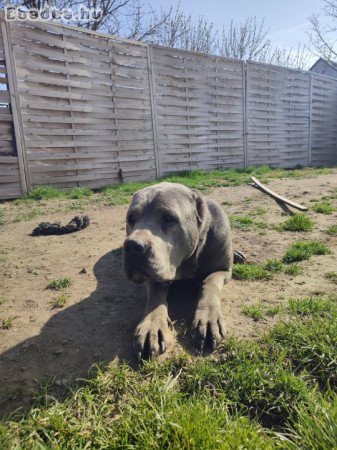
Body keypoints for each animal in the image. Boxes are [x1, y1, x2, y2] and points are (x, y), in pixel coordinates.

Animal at [122, 181, 232, 360]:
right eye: (131, 218)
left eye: (168, 218)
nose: (132, 245)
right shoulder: (155, 276)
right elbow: (155, 296)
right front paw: (151, 325)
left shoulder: (223, 270)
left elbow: (210, 283)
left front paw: (208, 318)